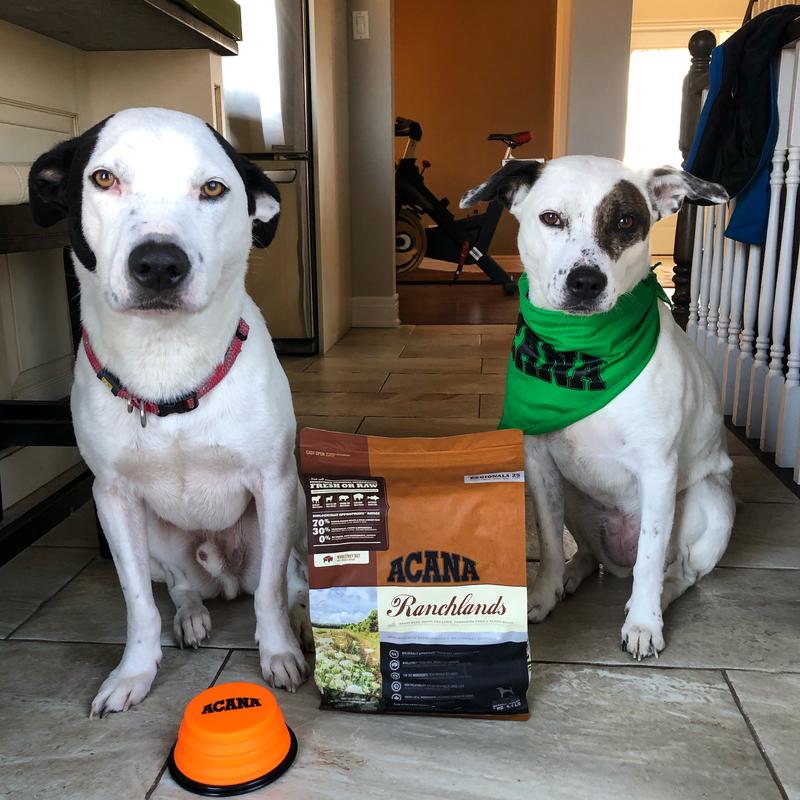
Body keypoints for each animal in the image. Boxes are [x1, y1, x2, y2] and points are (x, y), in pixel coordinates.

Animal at [28, 109, 310, 716]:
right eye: (103, 178)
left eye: (213, 188)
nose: (158, 264)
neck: (167, 363)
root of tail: (225, 577)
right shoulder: (111, 498)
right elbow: (137, 603)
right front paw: (133, 673)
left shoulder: (273, 483)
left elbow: (272, 594)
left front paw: (278, 653)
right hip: (159, 540)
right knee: (180, 587)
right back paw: (193, 617)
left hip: (292, 512)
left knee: (288, 579)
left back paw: (297, 620)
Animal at [460, 155, 736, 656]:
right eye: (551, 218)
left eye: (625, 221)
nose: (585, 282)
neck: (579, 353)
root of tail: (617, 560)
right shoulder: (539, 462)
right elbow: (550, 541)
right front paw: (543, 594)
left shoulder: (658, 469)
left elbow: (651, 558)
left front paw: (644, 624)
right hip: (576, 497)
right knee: (589, 554)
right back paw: (573, 576)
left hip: (709, 501)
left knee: (676, 571)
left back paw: (654, 601)